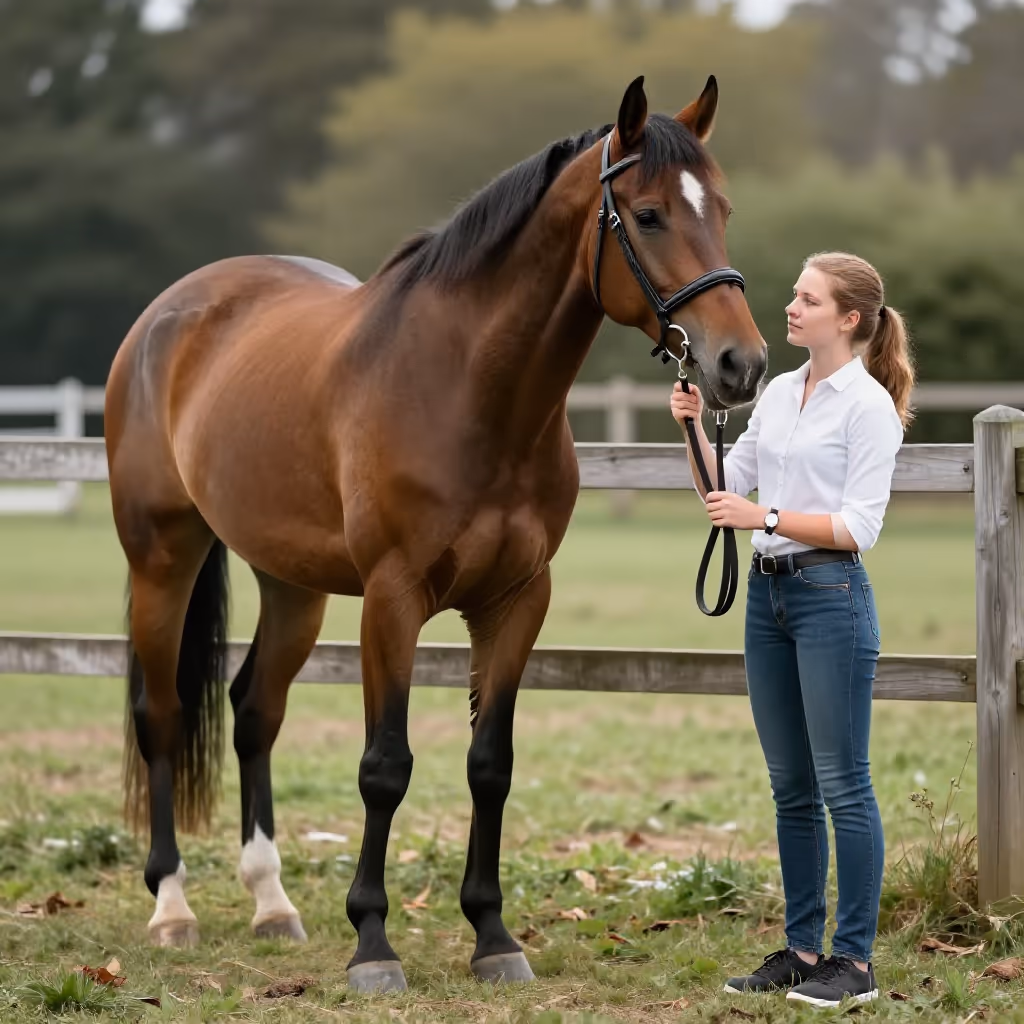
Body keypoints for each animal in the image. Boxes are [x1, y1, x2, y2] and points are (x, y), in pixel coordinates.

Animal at [104, 75, 766, 993]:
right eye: (648, 214)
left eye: (724, 207)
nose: (742, 364)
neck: (469, 392)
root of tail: (168, 315)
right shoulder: (393, 599)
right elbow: (385, 767)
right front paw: (373, 944)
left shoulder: (518, 600)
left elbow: (491, 764)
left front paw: (492, 935)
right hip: (162, 558)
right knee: (161, 714)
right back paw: (172, 907)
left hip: (293, 585)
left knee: (254, 711)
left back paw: (272, 902)